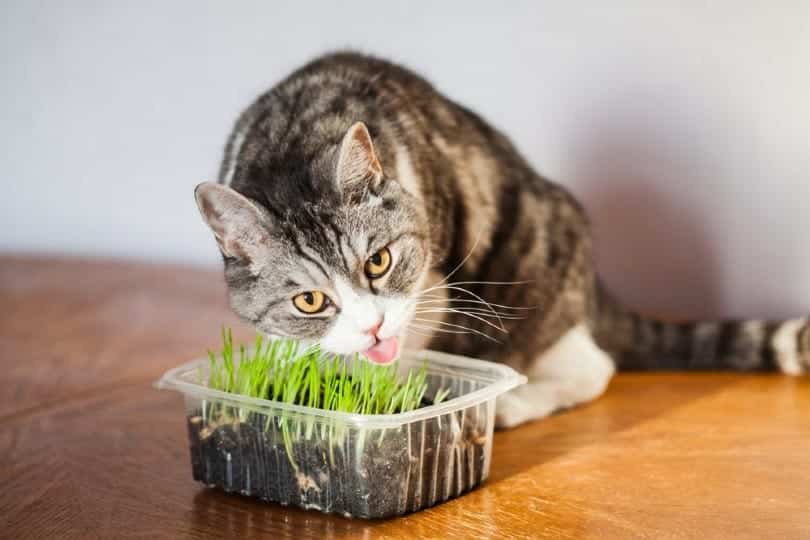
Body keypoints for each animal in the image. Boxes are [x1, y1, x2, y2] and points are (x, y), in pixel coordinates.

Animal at [196, 52, 808, 428]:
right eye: (309, 300)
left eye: (379, 261)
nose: (372, 328)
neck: (291, 143)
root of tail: (593, 287)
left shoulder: (433, 290)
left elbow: (406, 363)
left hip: (533, 268)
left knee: (591, 369)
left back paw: (513, 402)